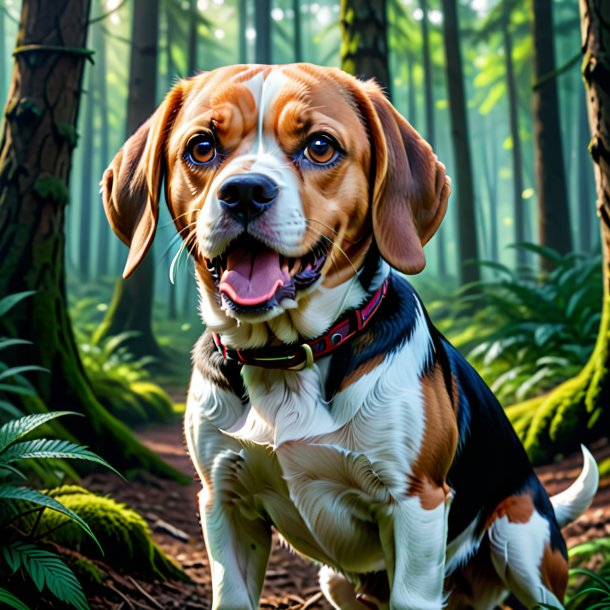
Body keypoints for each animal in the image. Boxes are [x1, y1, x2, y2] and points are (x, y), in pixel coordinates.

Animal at [101, 63, 600, 608]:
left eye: (320, 146)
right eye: (202, 146)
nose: (245, 192)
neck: (285, 354)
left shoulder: (417, 504)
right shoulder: (223, 499)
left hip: (519, 540)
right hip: (335, 580)